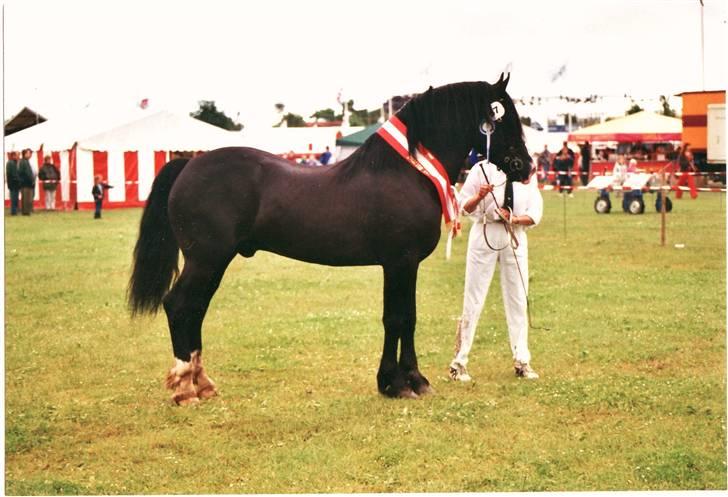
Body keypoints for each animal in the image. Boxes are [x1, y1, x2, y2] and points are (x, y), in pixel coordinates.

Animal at [129, 74, 528, 406]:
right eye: (503, 116)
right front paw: (402, 383)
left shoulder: (402, 265)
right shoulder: (400, 262)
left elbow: (403, 317)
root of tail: (188, 164)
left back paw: (203, 384)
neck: (405, 171)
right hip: (206, 260)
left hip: (212, 263)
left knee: (195, 309)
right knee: (179, 305)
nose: (525, 167)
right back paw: (185, 389)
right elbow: (399, 318)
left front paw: (403, 381)